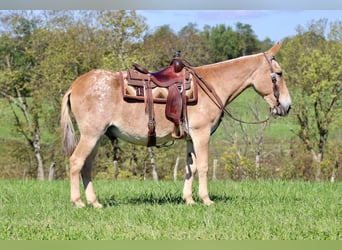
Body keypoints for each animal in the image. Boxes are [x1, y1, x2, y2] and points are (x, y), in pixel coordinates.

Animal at [60, 41, 292, 209]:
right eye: (279, 74)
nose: (287, 106)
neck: (211, 85)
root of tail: (75, 85)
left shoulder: (191, 137)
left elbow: (191, 167)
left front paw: (189, 199)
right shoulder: (201, 134)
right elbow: (204, 166)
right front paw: (206, 200)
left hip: (96, 137)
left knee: (86, 166)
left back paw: (95, 202)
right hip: (91, 135)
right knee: (76, 162)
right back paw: (78, 202)